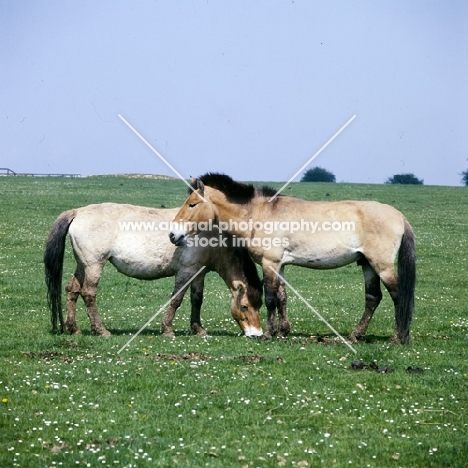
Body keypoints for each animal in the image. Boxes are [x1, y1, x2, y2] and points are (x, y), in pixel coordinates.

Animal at [44, 203, 264, 338]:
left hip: (83, 265)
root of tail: (78, 212)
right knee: (88, 293)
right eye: (244, 306)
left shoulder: (198, 273)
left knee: (72, 290)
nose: (257, 334)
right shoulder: (185, 272)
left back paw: (73, 329)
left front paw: (198, 329)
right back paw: (100, 330)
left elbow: (196, 300)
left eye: (259, 306)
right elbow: (176, 299)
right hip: (93, 265)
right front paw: (167, 329)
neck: (209, 234)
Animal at [169, 174, 416, 346]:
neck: (259, 215)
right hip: (367, 265)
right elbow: (282, 297)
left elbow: (270, 298)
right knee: (373, 298)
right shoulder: (280, 265)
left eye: (192, 204)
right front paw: (283, 331)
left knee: (398, 296)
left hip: (382, 265)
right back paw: (356, 335)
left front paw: (269, 333)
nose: (173, 235)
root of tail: (399, 216)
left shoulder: (269, 263)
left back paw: (397, 337)